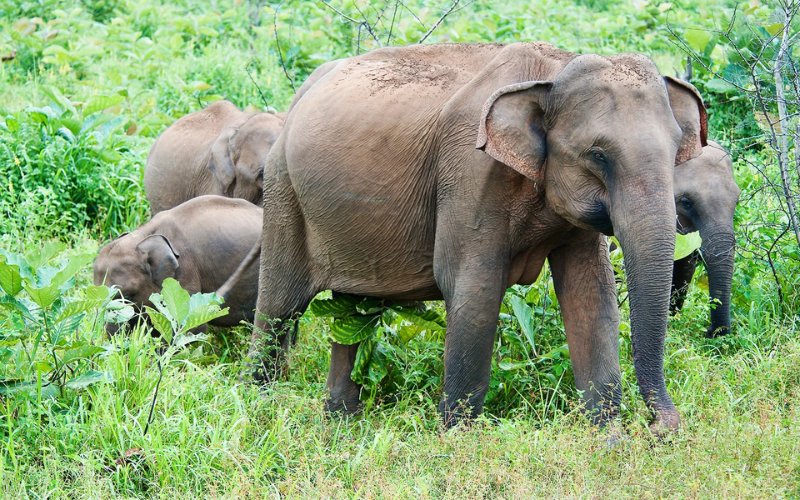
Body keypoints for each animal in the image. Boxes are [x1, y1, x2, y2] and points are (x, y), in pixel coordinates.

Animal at [251, 42, 707, 434]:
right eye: (598, 155)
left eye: (676, 151)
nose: (660, 428)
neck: (552, 72)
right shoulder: (470, 171)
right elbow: (474, 288)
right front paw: (457, 441)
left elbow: (590, 293)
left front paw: (609, 441)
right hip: (282, 189)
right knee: (279, 307)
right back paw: (263, 408)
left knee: (352, 312)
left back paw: (341, 423)